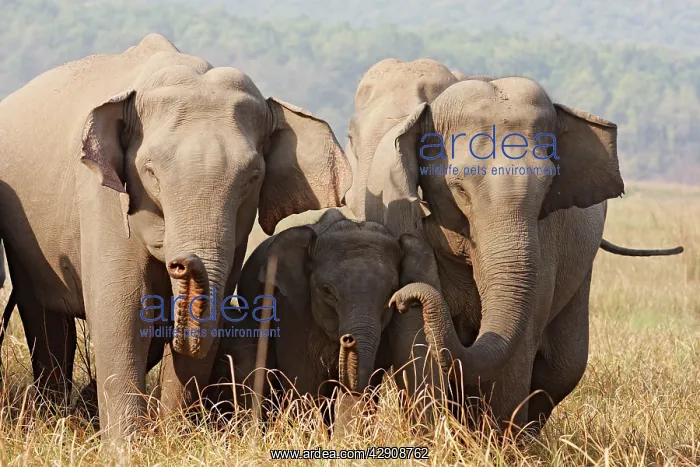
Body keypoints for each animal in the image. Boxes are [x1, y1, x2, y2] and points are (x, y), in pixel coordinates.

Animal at [0, 33, 351, 440]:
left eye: (252, 177)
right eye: (150, 172)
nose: (181, 264)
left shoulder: (237, 234)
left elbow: (205, 321)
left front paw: (175, 439)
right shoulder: (100, 198)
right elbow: (122, 312)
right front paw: (126, 447)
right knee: (46, 322)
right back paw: (51, 417)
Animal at [206, 208, 442, 421]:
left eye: (392, 292)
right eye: (328, 292)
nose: (348, 340)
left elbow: (369, 381)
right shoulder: (292, 309)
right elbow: (305, 382)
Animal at [381, 76, 683, 434]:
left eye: (547, 187)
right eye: (459, 189)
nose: (402, 297)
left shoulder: (544, 247)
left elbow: (518, 351)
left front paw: (497, 442)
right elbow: (416, 343)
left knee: (564, 366)